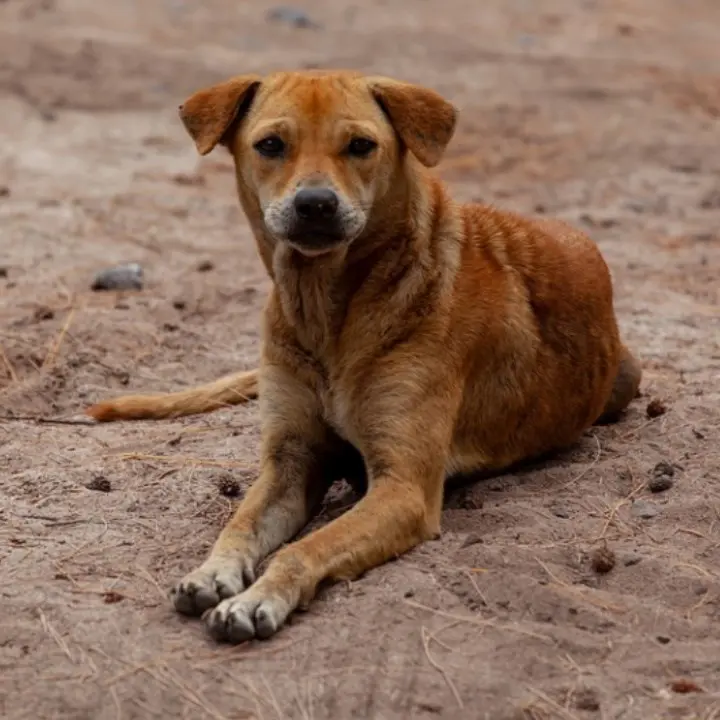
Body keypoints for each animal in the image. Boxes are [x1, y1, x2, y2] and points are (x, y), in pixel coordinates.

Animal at [84, 70, 640, 644]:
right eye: (270, 145)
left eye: (360, 146)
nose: (315, 204)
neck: (326, 311)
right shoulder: (290, 461)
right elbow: (238, 524)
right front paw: (212, 572)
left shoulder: (403, 488)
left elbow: (304, 548)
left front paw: (258, 598)